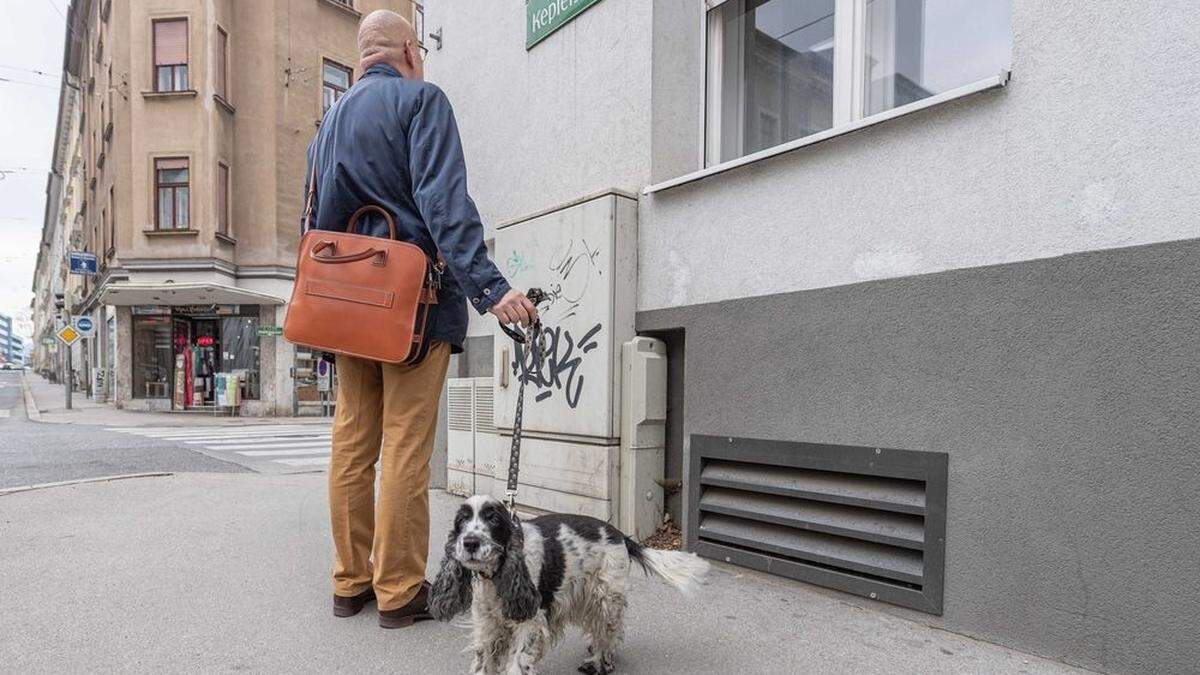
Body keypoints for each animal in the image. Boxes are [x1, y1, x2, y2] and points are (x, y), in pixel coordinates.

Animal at [432, 492, 710, 667]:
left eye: (493, 518)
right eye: (462, 520)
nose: (470, 542)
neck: (496, 577)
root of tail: (619, 534)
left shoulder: (529, 625)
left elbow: (518, 662)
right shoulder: (487, 627)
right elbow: (483, 664)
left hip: (606, 597)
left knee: (610, 630)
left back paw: (600, 662)